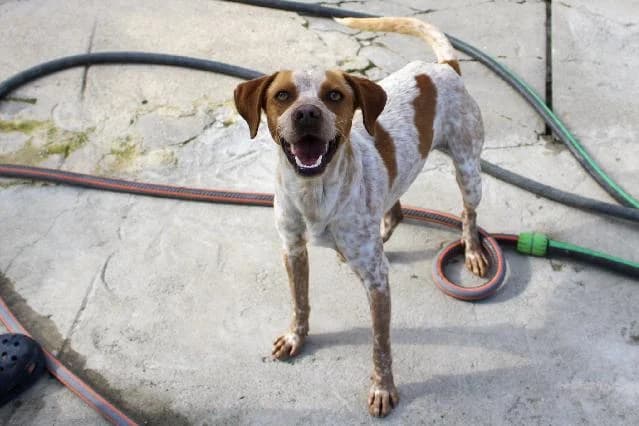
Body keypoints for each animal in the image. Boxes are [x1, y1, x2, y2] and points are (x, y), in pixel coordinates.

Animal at [233, 17, 488, 417]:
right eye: (283, 96)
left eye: (334, 95)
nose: (307, 113)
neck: (315, 193)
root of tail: (443, 68)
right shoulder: (292, 249)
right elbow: (299, 302)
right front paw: (295, 338)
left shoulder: (377, 280)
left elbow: (380, 344)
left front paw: (383, 389)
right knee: (395, 206)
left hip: (469, 170)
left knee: (468, 213)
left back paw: (473, 249)